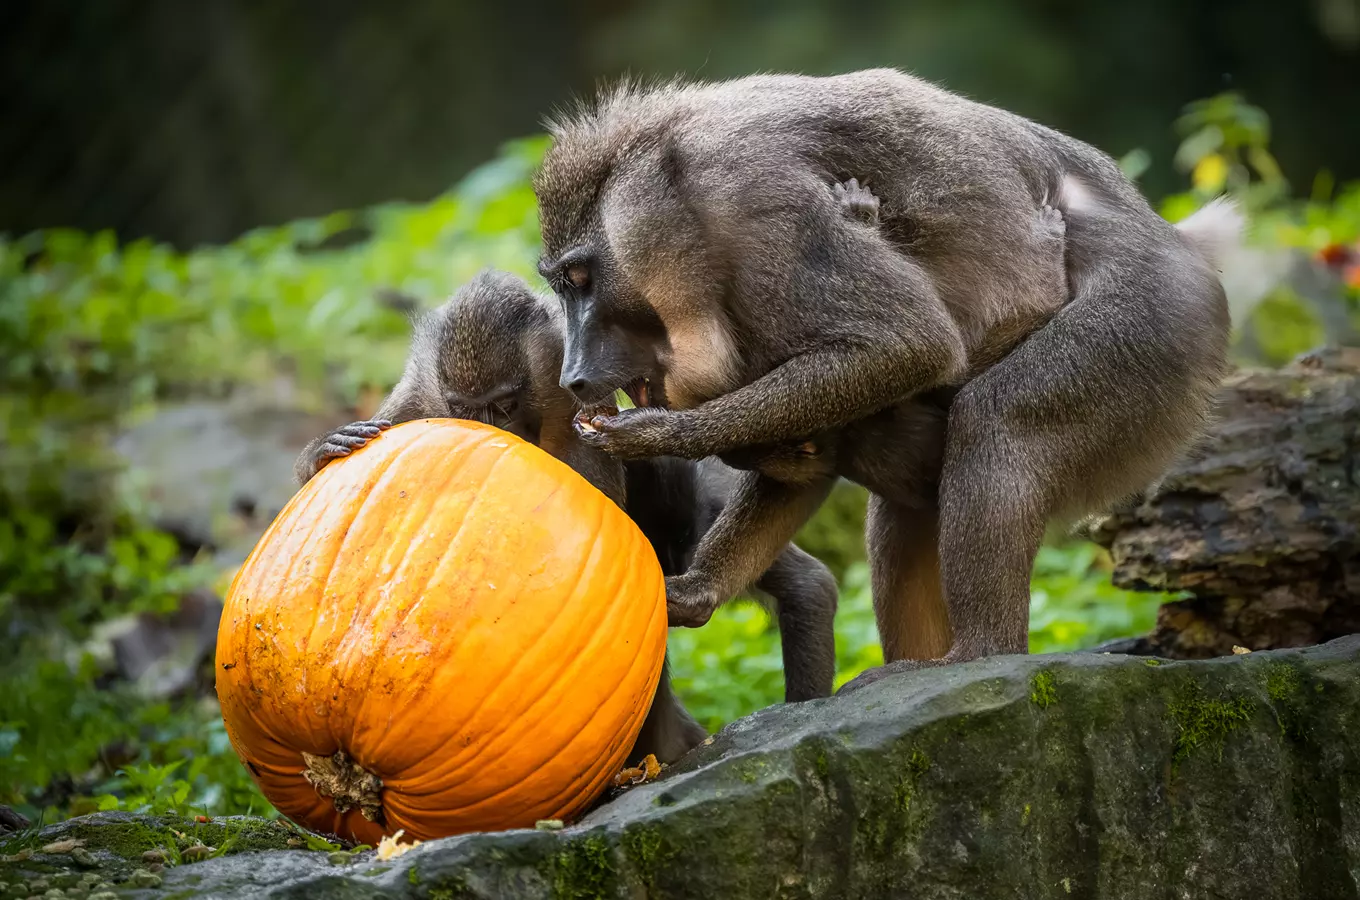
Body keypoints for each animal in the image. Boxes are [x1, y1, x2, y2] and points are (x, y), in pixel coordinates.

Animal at [530, 66, 1245, 679]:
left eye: (580, 279)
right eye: (563, 285)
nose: (574, 378)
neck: (669, 193)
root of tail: (1170, 235)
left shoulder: (755, 206)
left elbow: (911, 343)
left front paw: (661, 434)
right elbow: (805, 470)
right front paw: (695, 590)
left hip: (1152, 327)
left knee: (1000, 420)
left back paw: (981, 654)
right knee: (905, 508)